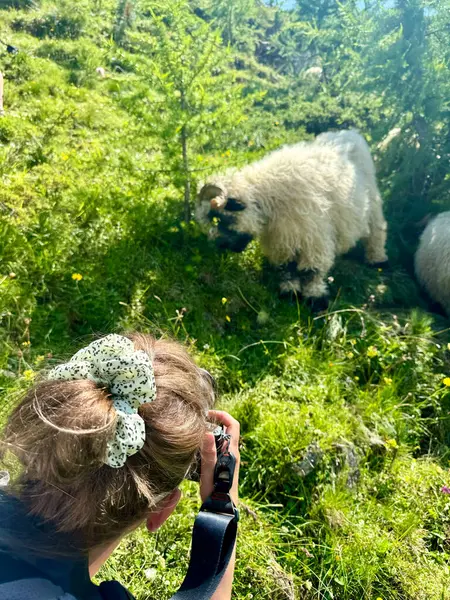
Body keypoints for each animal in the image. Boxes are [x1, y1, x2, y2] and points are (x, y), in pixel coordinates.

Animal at [197, 130, 390, 300]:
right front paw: (290, 293)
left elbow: (313, 270)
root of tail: (351, 133)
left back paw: (377, 260)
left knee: (377, 231)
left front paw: (315, 298)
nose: (218, 245)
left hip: (372, 202)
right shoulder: (282, 239)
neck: (269, 197)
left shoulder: (313, 236)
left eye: (219, 218)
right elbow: (287, 268)